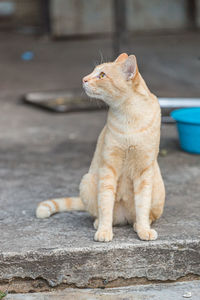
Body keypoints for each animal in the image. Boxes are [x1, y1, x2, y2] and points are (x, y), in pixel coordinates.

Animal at [35, 53, 164, 241]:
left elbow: (142, 206)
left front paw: (143, 229)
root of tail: (125, 217)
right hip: (87, 181)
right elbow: (105, 204)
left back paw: (138, 224)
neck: (129, 115)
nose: (84, 79)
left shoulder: (144, 171)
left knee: (145, 215)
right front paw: (104, 231)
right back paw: (99, 223)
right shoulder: (108, 168)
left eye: (102, 75)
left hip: (157, 188)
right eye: (93, 71)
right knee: (103, 214)